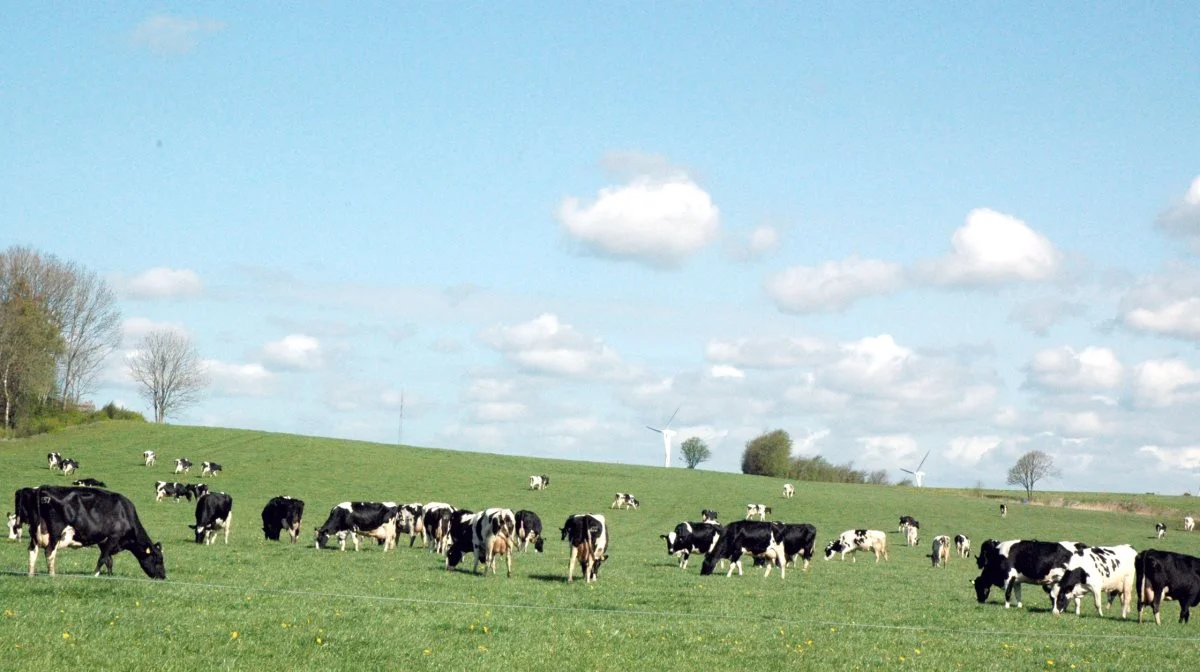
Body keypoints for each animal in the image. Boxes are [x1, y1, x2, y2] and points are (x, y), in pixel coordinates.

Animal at [22, 482, 165, 578]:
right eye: (158, 560)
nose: (163, 577)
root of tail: (44, 488)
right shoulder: (113, 537)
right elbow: (102, 559)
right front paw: (95, 575)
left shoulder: (103, 541)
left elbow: (108, 560)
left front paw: (110, 576)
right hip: (55, 532)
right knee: (49, 552)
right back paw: (52, 575)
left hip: (35, 532)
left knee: (32, 551)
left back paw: (30, 575)